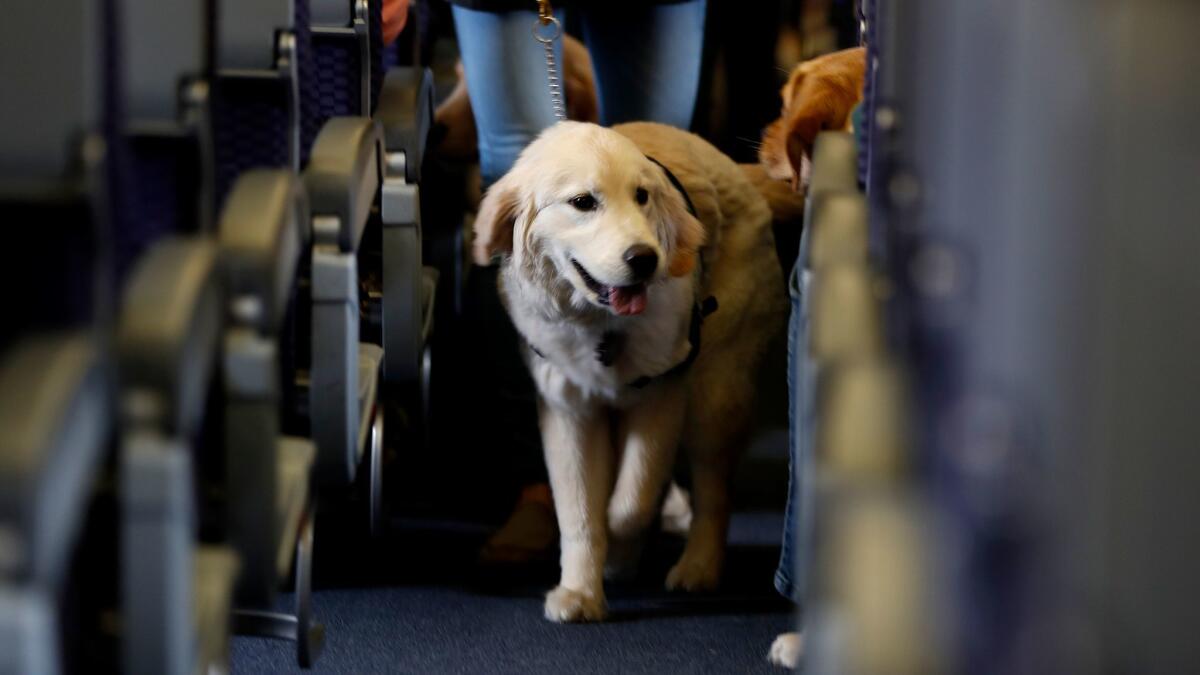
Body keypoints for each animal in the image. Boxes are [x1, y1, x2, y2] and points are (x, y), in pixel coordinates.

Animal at [468, 121, 787, 619]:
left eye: (642, 197)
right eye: (583, 202)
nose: (645, 258)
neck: (602, 325)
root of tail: (735, 167)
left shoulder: (662, 393)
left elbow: (630, 501)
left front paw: (618, 552)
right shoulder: (568, 409)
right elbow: (580, 511)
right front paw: (580, 592)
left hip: (717, 391)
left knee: (714, 491)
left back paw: (698, 567)